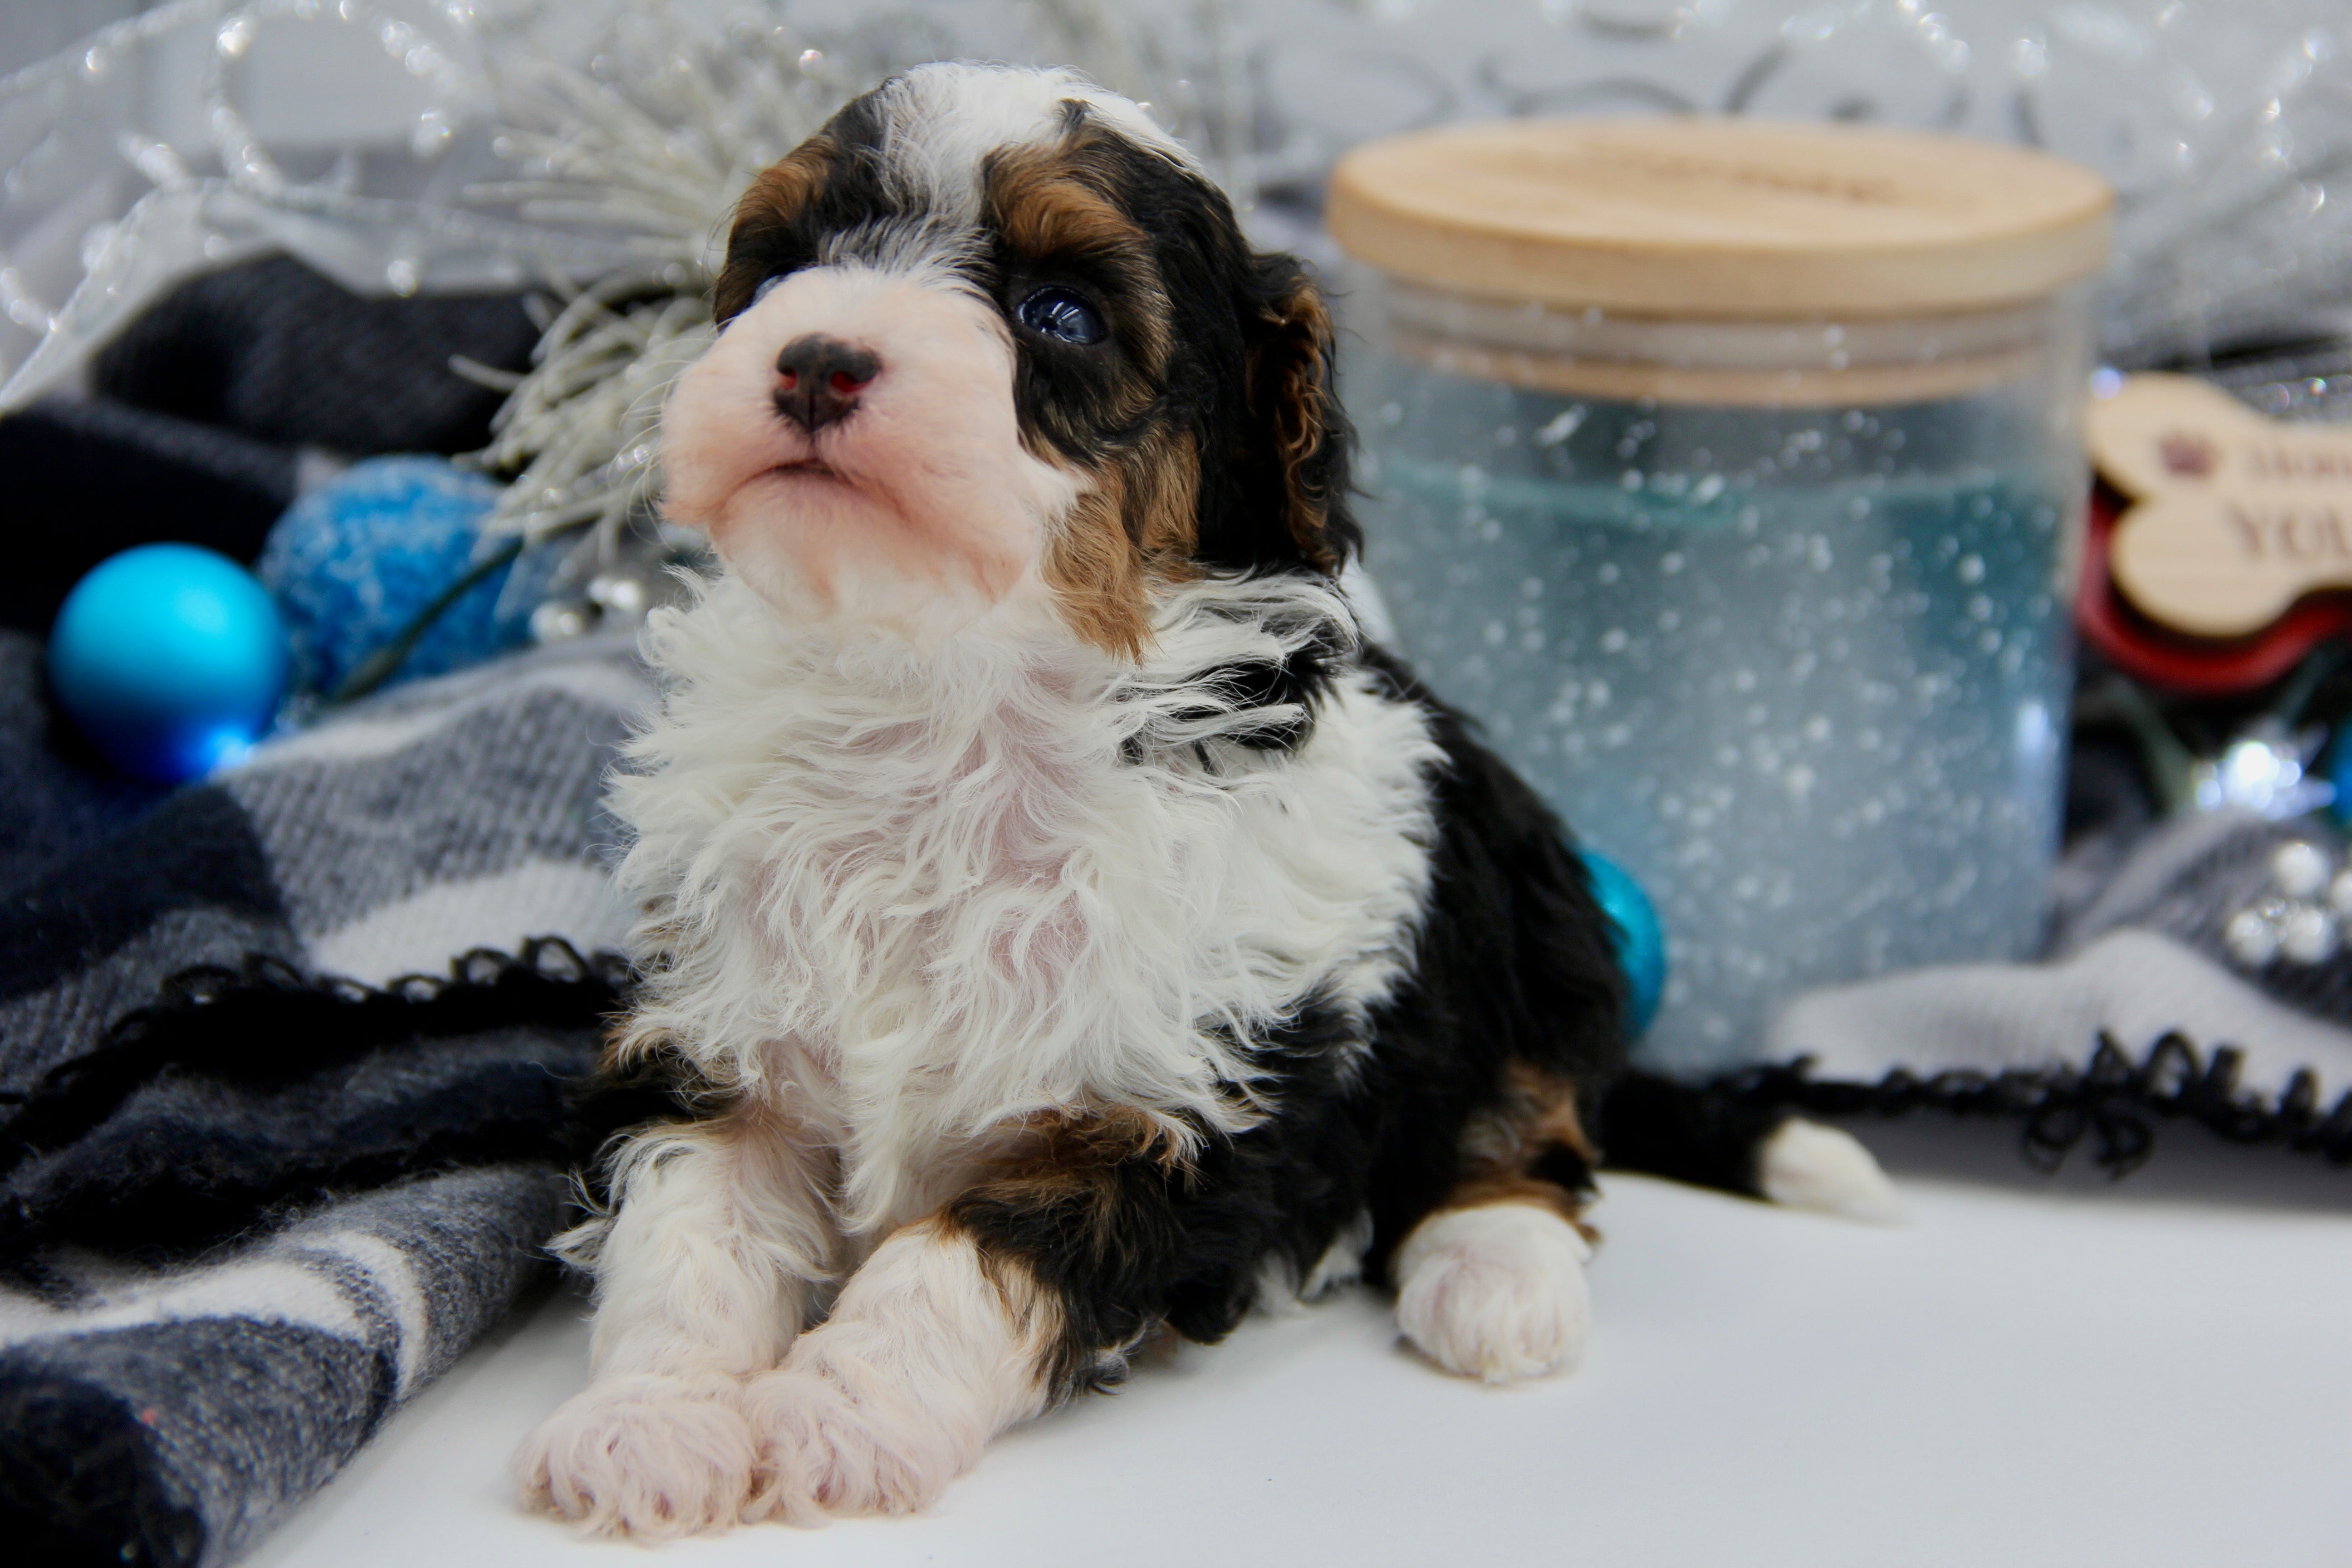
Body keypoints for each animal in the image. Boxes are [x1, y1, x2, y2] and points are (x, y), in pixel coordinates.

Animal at [515, 64, 1891, 1542]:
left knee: (1528, 1119)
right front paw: (647, 1424)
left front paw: (845, 1418)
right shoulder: (722, 1044)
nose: (817, 356)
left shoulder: (1171, 1114)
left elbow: (958, 1265)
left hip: (1529, 906)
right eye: (779, 269)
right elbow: (686, 1234)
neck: (947, 706)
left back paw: (1494, 1274)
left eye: (1059, 314)